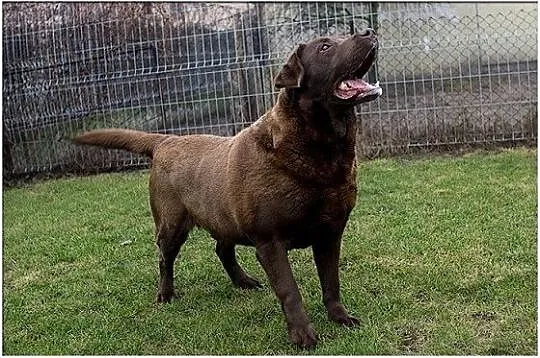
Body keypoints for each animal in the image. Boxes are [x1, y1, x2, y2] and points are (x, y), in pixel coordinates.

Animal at [74, 29, 382, 348]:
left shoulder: (330, 233)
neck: (318, 149)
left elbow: (331, 281)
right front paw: (302, 335)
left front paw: (340, 317)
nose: (368, 32)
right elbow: (290, 291)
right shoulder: (270, 241)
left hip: (223, 216)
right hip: (172, 224)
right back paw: (166, 294)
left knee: (222, 249)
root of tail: (166, 140)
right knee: (164, 259)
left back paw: (242, 281)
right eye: (324, 47)